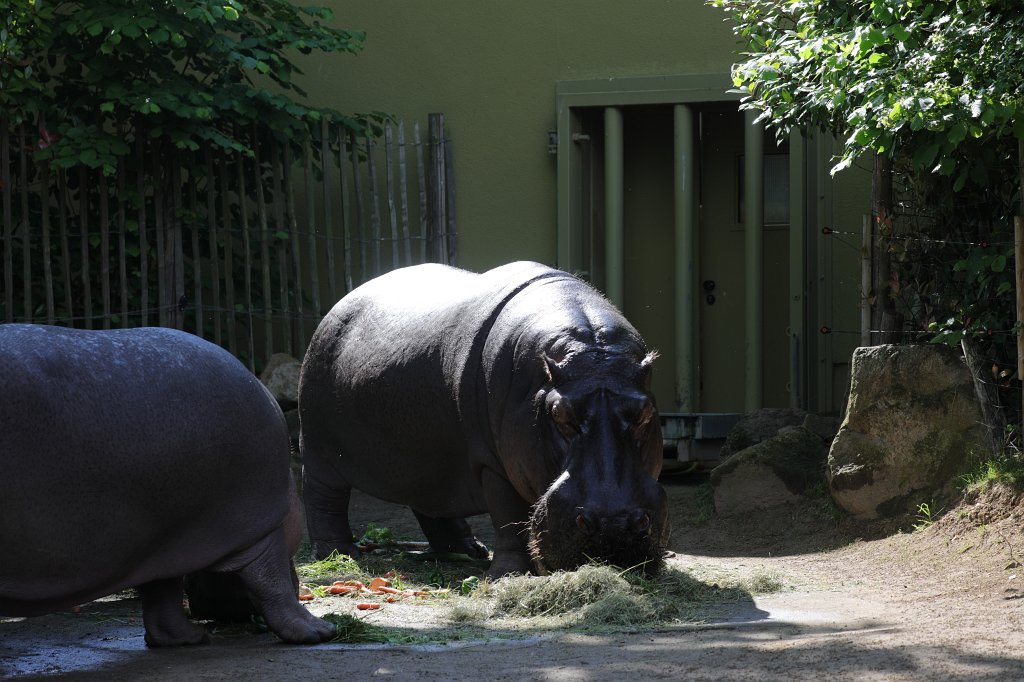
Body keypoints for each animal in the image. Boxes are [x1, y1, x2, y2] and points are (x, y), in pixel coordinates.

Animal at [0, 325, 335, 646]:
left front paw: (188, 639)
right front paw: (319, 631)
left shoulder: (162, 542)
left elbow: (161, 599)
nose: (208, 609)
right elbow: (273, 581)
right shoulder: (256, 528)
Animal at [299, 261, 670, 577]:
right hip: (317, 445)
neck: (591, 351)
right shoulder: (491, 463)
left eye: (645, 414)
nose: (612, 523)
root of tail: (340, 304)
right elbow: (508, 517)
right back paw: (338, 555)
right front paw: (508, 575)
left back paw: (467, 550)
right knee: (323, 498)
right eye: (560, 416)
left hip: (426, 458)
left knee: (430, 503)